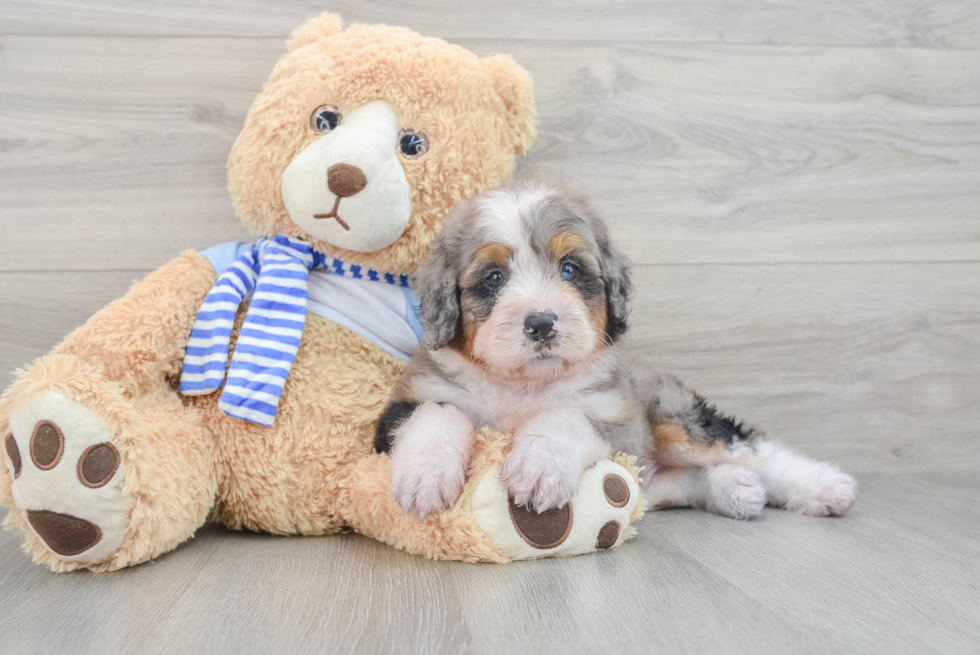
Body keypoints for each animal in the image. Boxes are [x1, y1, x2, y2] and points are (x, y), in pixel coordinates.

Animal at [376, 186, 856, 524]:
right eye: (494, 278)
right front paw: (425, 476)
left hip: (673, 417)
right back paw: (736, 490)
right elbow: (439, 413)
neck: (524, 383)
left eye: (570, 269)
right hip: (649, 477)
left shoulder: (616, 419)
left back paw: (825, 487)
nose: (542, 323)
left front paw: (538, 466)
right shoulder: (407, 403)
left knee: (754, 450)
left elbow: (566, 417)